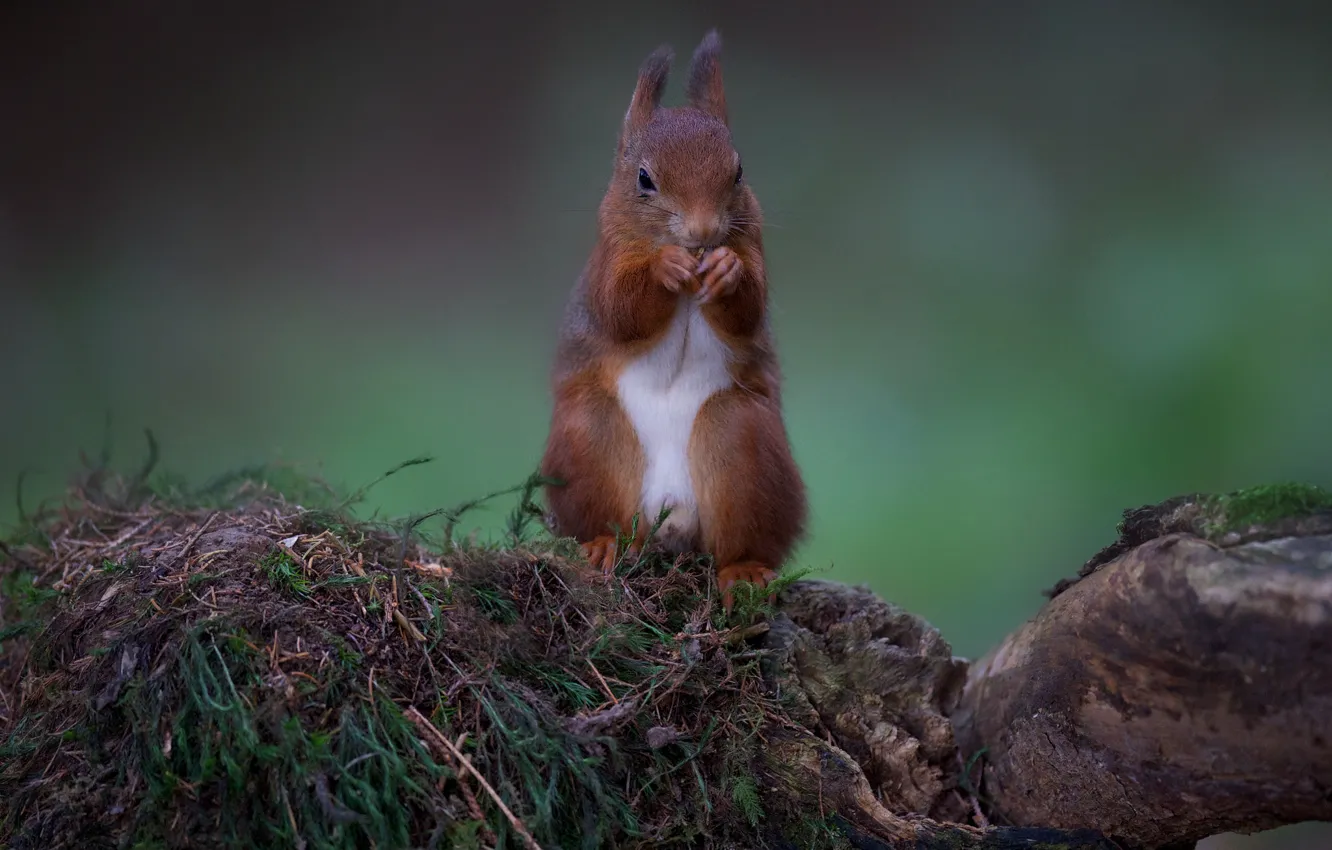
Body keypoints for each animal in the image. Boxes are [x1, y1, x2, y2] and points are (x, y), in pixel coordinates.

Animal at [538, 28, 804, 612]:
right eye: (644, 178)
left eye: (739, 170)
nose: (703, 232)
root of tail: (670, 517)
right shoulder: (607, 261)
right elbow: (620, 311)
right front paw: (665, 268)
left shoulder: (755, 248)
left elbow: (748, 312)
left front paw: (725, 271)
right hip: (590, 439)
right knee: (604, 515)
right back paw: (601, 545)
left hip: (742, 444)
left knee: (740, 538)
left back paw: (742, 570)